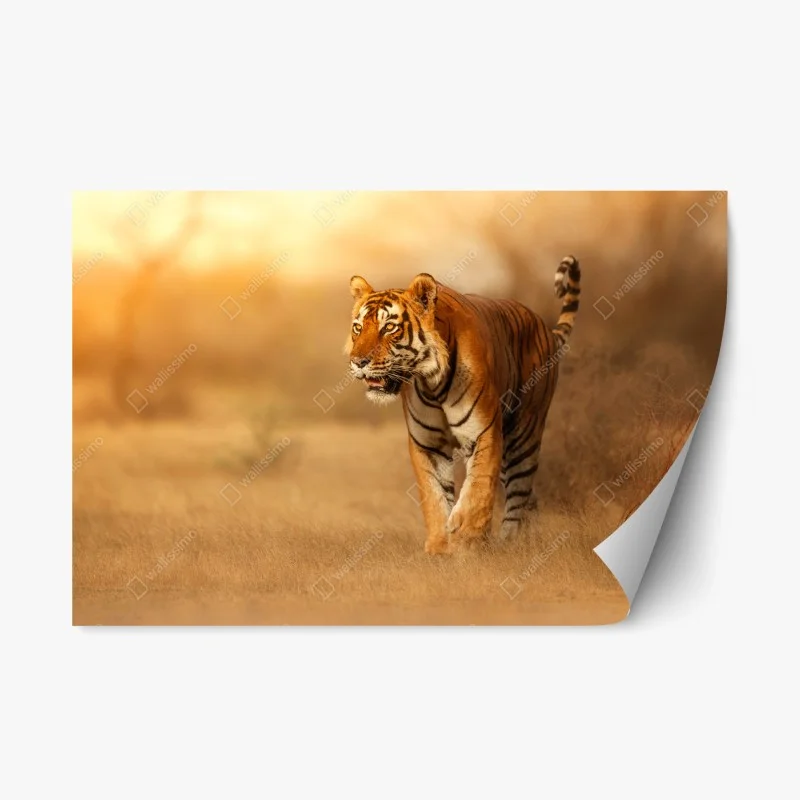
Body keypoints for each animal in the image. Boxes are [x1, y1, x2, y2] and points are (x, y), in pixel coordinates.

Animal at [345, 255, 581, 555]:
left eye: (389, 327)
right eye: (358, 328)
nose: (357, 362)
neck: (432, 383)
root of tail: (545, 327)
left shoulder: (483, 432)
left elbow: (478, 488)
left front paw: (467, 538)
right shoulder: (427, 444)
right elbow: (433, 496)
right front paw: (439, 547)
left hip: (524, 435)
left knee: (519, 492)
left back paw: (509, 542)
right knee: (529, 497)